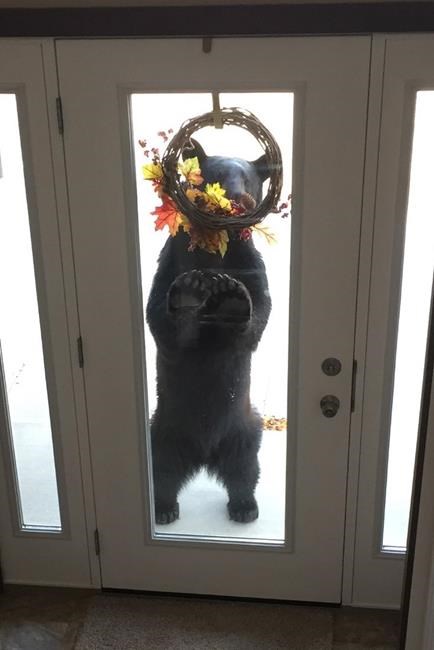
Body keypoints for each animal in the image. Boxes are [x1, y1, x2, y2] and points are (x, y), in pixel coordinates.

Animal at [146, 139, 272, 525]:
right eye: (215, 175)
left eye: (247, 178)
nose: (236, 197)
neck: (215, 244)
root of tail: (203, 457)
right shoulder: (172, 261)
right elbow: (162, 320)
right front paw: (188, 293)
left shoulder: (249, 263)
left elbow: (259, 309)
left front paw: (233, 299)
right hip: (162, 432)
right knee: (162, 472)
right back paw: (164, 508)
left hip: (247, 431)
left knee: (246, 471)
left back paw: (245, 506)